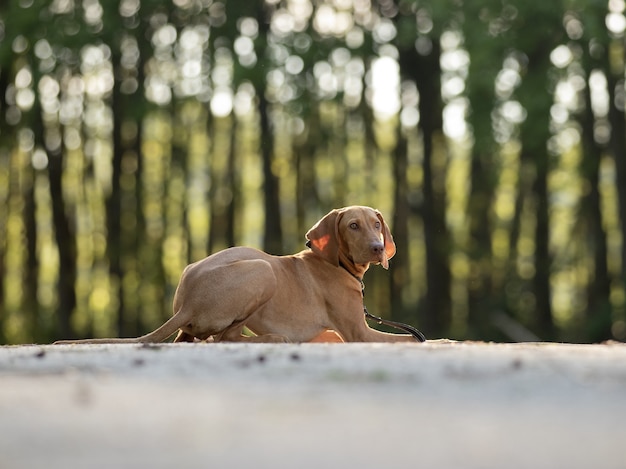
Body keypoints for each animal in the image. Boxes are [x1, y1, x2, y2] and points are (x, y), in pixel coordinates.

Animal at [56, 206, 422, 344]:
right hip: (263, 269)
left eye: (377, 224)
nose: (377, 247)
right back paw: (274, 339)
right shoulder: (359, 333)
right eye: (353, 226)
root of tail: (186, 303)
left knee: (201, 339)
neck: (336, 262)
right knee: (224, 338)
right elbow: (413, 339)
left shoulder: (335, 333)